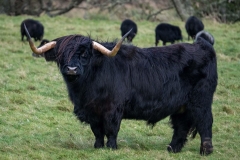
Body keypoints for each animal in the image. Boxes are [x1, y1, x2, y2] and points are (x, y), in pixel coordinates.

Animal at [24, 22, 218, 156]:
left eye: (85, 54)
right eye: (60, 55)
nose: (71, 69)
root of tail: (203, 45)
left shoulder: (113, 108)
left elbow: (111, 129)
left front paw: (111, 148)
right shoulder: (92, 111)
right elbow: (97, 131)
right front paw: (98, 147)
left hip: (201, 99)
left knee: (205, 121)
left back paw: (205, 150)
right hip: (181, 105)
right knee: (181, 126)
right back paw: (172, 148)